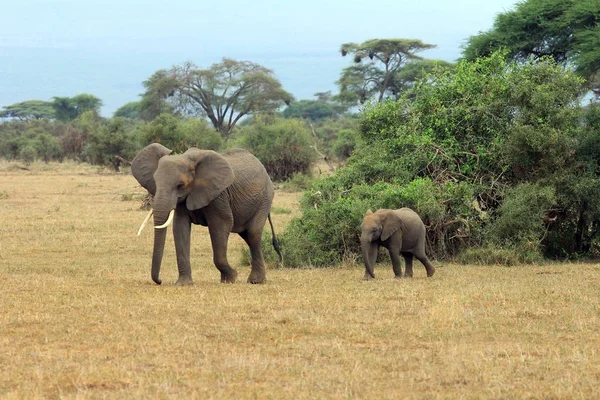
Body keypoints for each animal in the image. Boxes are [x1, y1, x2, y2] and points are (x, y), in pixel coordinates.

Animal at [131, 143, 282, 284]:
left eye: (180, 186)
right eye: (156, 183)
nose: (160, 281)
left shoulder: (218, 195)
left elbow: (221, 224)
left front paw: (231, 278)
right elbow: (180, 228)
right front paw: (184, 284)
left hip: (265, 199)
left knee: (253, 233)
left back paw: (256, 281)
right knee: (247, 235)